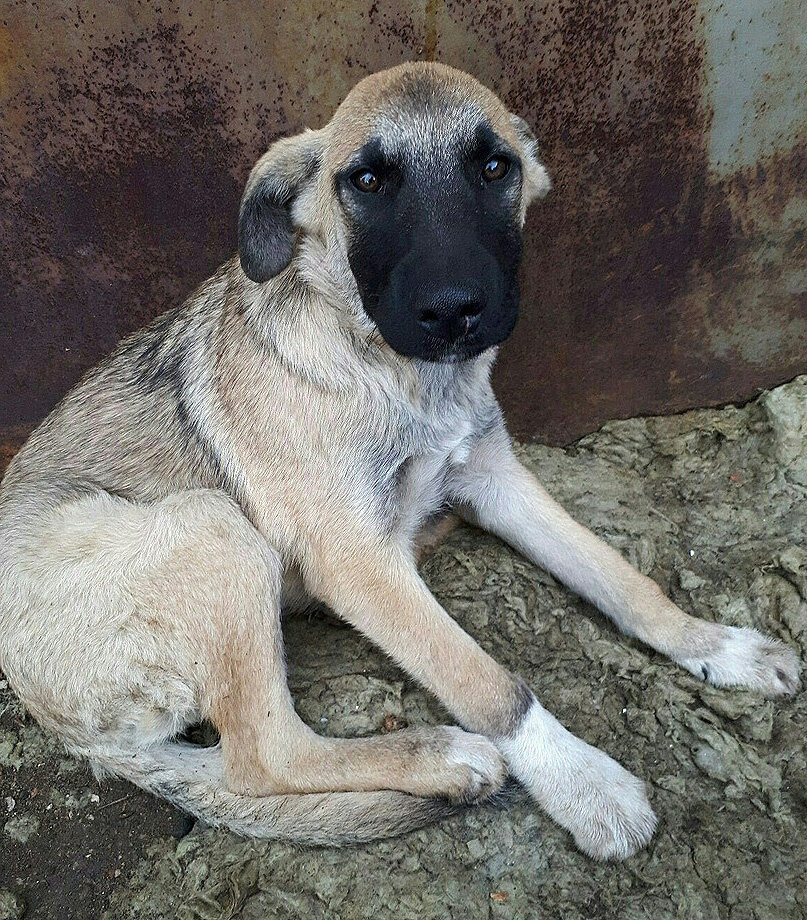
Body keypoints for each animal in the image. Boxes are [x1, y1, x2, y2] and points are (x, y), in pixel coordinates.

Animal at [0, 61, 800, 860]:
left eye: (494, 167)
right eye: (367, 181)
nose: (452, 310)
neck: (398, 373)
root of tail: (64, 727)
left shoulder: (493, 477)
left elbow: (621, 579)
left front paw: (716, 645)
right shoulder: (356, 562)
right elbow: (488, 684)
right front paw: (583, 783)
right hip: (212, 528)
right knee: (262, 758)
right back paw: (440, 758)